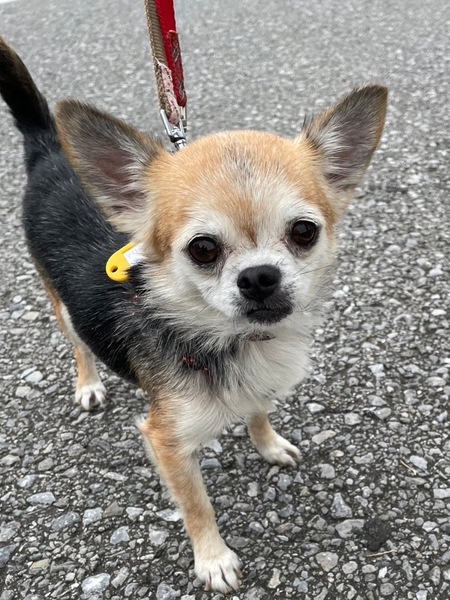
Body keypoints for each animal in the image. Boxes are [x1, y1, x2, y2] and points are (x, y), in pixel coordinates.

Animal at [0, 37, 387, 593]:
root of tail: (51, 149)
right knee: (78, 344)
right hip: (63, 307)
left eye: (304, 231)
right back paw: (89, 384)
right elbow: (196, 505)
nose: (260, 277)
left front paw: (268, 444)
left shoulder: (256, 387)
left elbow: (258, 410)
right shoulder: (166, 442)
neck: (235, 340)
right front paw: (213, 559)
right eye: (203, 249)